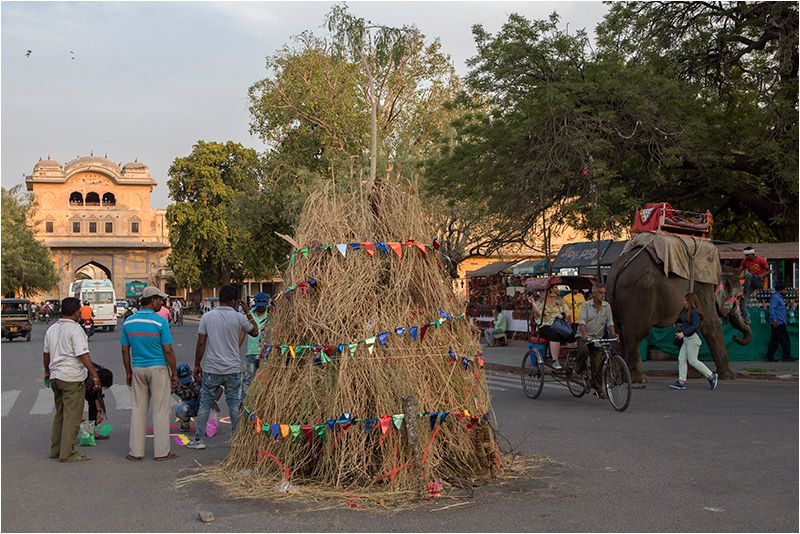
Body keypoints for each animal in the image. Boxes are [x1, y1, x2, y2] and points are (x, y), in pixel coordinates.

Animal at [608, 249, 752, 384]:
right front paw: (730, 377)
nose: (734, 336)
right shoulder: (703, 290)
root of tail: (619, 269)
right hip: (638, 296)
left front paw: (692, 375)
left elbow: (686, 327)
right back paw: (639, 379)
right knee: (635, 335)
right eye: (739, 297)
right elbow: (711, 324)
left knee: (617, 334)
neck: (719, 269)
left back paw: (619, 378)